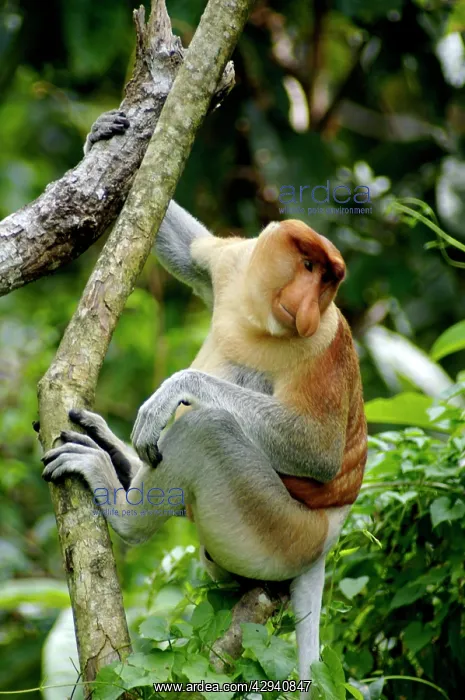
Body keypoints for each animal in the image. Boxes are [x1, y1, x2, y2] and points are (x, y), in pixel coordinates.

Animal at [42, 113, 367, 695]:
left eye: (328, 280)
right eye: (309, 266)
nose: (309, 305)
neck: (260, 316)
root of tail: (327, 539)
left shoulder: (323, 343)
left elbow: (320, 452)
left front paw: (174, 391)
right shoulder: (233, 264)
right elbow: (193, 252)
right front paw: (105, 134)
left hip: (281, 532)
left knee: (208, 430)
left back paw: (119, 499)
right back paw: (119, 457)